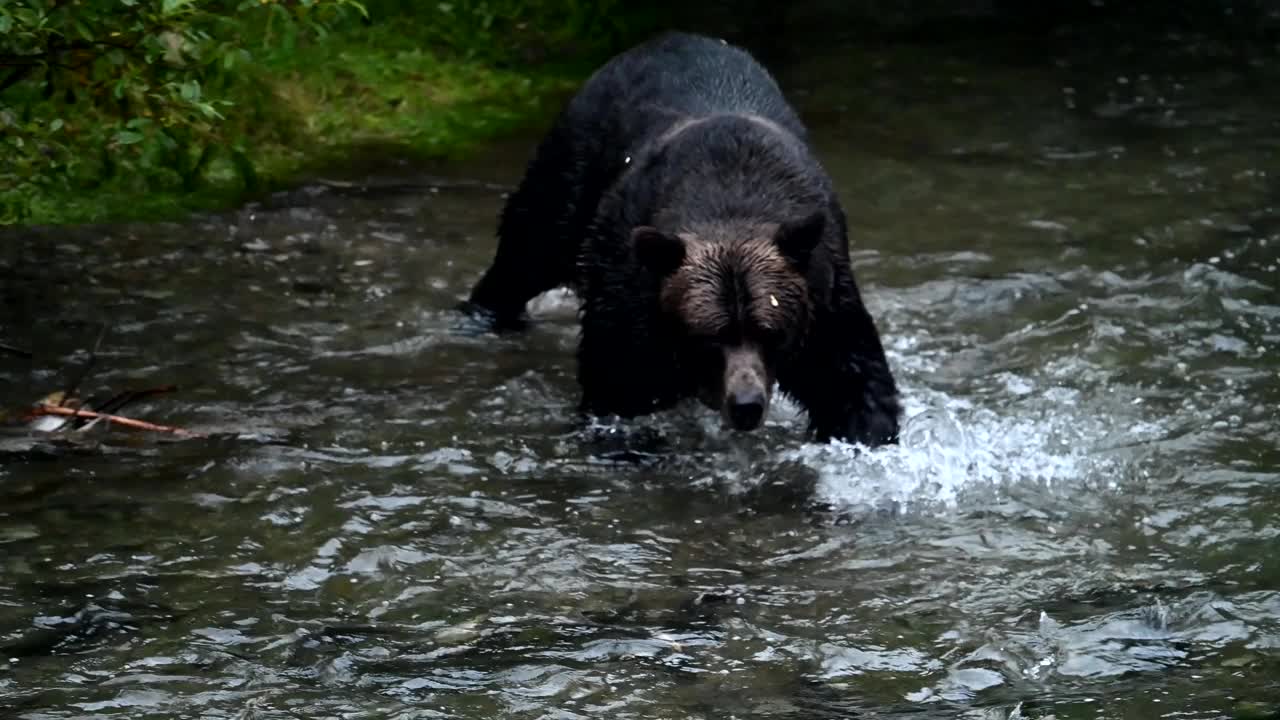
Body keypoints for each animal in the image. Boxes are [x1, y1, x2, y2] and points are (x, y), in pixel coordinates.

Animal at [460, 32, 901, 443]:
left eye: (769, 331)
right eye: (710, 336)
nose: (746, 405)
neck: (730, 203)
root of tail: (660, 40)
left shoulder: (823, 295)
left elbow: (853, 385)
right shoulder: (631, 292)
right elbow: (616, 385)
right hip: (571, 173)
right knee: (526, 253)